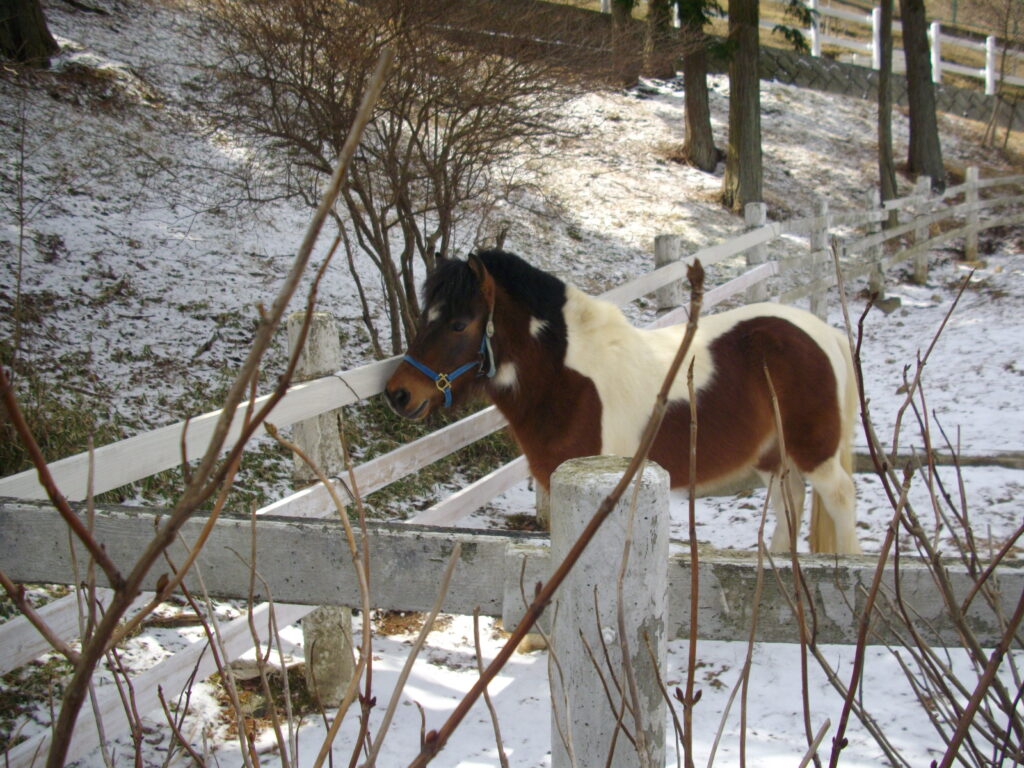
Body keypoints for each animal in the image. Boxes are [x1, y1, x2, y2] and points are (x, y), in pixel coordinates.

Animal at [385, 249, 861, 554]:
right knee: (788, 504)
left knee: (840, 497)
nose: (398, 393)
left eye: (459, 324)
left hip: (816, 455)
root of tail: (822, 332)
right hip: (772, 457)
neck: (570, 380)